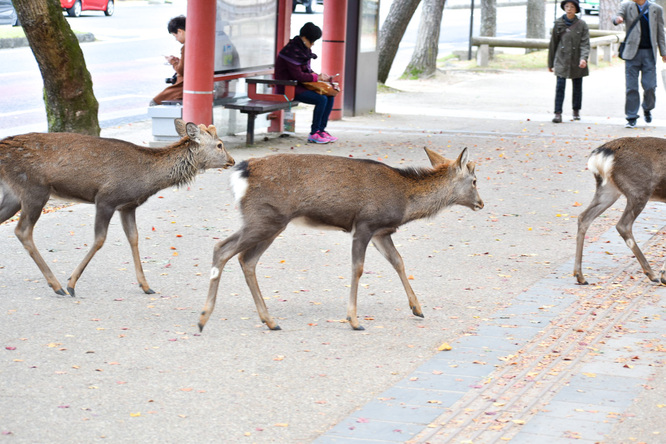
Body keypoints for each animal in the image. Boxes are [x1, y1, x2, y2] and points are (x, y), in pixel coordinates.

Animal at [0, 119, 235, 296]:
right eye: (220, 145)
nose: (232, 161)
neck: (147, 180)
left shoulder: (127, 206)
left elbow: (134, 238)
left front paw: (146, 286)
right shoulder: (106, 199)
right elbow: (100, 239)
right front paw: (72, 283)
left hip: (13, 195)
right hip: (34, 189)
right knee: (23, 231)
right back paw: (57, 285)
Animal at [197, 147, 482, 332]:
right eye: (475, 180)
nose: (481, 203)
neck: (404, 202)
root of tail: (241, 173)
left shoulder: (382, 232)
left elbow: (399, 262)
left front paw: (417, 308)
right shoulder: (365, 224)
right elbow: (358, 268)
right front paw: (354, 320)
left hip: (270, 222)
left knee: (246, 259)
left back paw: (270, 321)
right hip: (265, 219)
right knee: (222, 248)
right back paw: (203, 317)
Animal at [572, 137, 664, 286]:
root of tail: (602, 153)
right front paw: (663, 275)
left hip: (608, 189)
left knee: (583, 217)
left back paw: (580, 276)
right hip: (638, 190)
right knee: (623, 225)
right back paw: (652, 274)